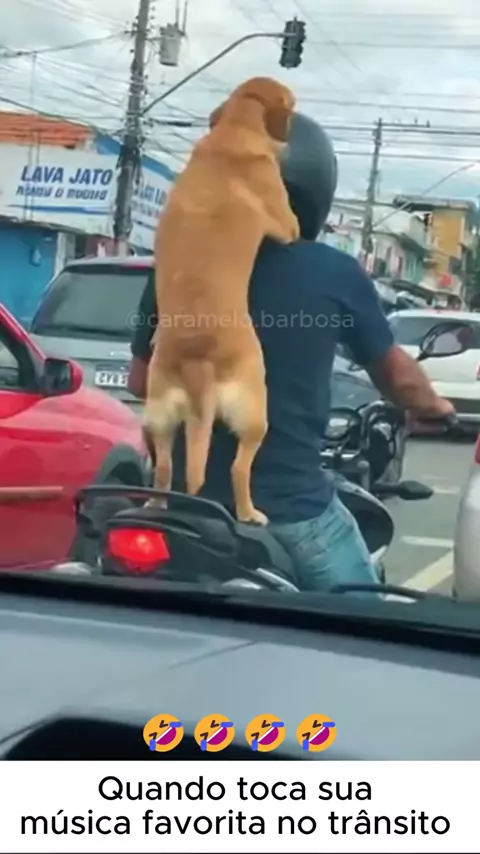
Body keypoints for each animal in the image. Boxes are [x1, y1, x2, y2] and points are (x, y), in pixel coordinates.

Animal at [144, 76, 300, 525]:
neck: (236, 126)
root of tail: (198, 356)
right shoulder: (287, 224)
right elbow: (295, 229)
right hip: (254, 410)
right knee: (238, 468)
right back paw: (249, 513)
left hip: (159, 415)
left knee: (164, 468)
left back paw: (156, 502)